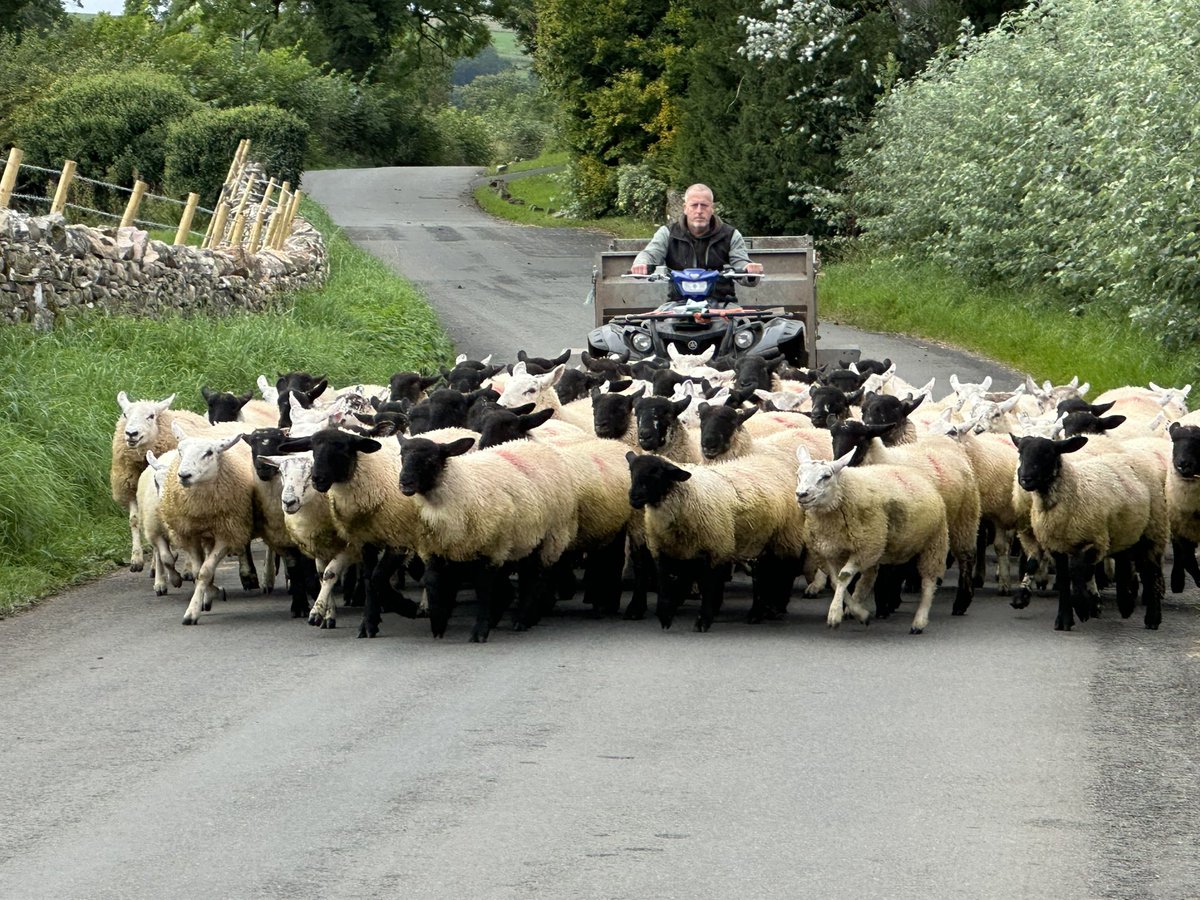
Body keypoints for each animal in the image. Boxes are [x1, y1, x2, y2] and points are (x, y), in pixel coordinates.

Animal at [110, 393, 211, 578]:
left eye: (151, 416)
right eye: (125, 414)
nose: (131, 434)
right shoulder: (132, 489)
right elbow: (135, 521)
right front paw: (137, 560)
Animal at [792, 448, 950, 633]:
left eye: (826, 476)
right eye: (798, 474)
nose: (802, 494)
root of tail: (915, 473)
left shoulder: (863, 549)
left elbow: (843, 576)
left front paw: (834, 615)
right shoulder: (829, 552)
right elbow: (835, 580)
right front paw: (860, 614)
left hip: (934, 542)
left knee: (928, 582)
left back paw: (919, 621)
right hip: (878, 546)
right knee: (868, 577)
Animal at [1008, 436, 1166, 633]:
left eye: (1048, 453)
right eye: (1020, 451)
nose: (1025, 479)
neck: (1073, 489)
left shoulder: (1092, 541)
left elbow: (1075, 570)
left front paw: (1082, 606)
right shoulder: (1056, 547)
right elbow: (1064, 578)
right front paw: (1065, 619)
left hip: (1153, 532)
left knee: (1152, 573)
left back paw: (1153, 617)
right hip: (1124, 532)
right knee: (1124, 563)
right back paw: (1126, 605)